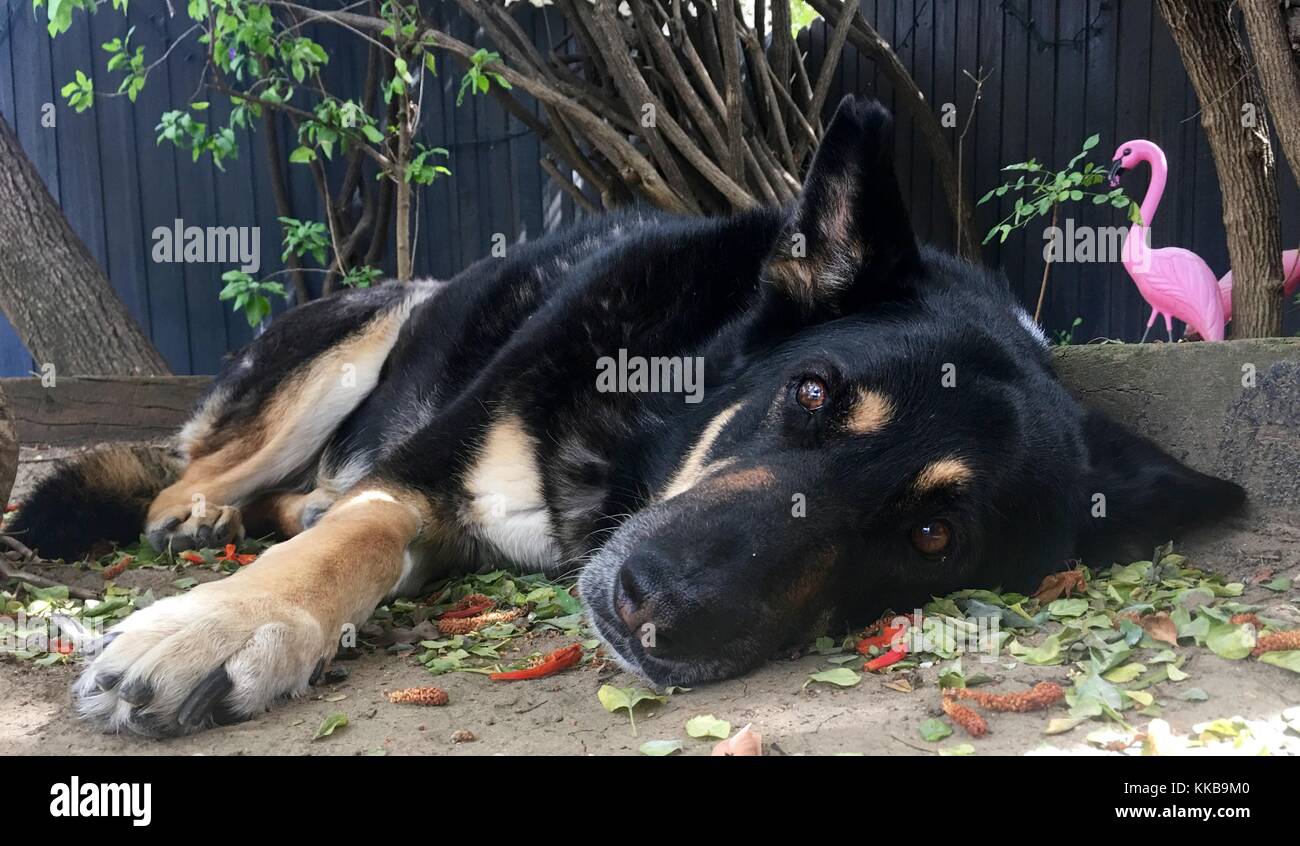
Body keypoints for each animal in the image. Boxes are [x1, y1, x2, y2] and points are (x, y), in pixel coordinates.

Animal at [12, 97, 1248, 732]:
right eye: (810, 394)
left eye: (933, 537)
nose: (658, 610)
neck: (636, 429)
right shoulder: (414, 476)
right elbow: (348, 541)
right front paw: (220, 629)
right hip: (360, 335)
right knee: (203, 471)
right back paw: (193, 519)